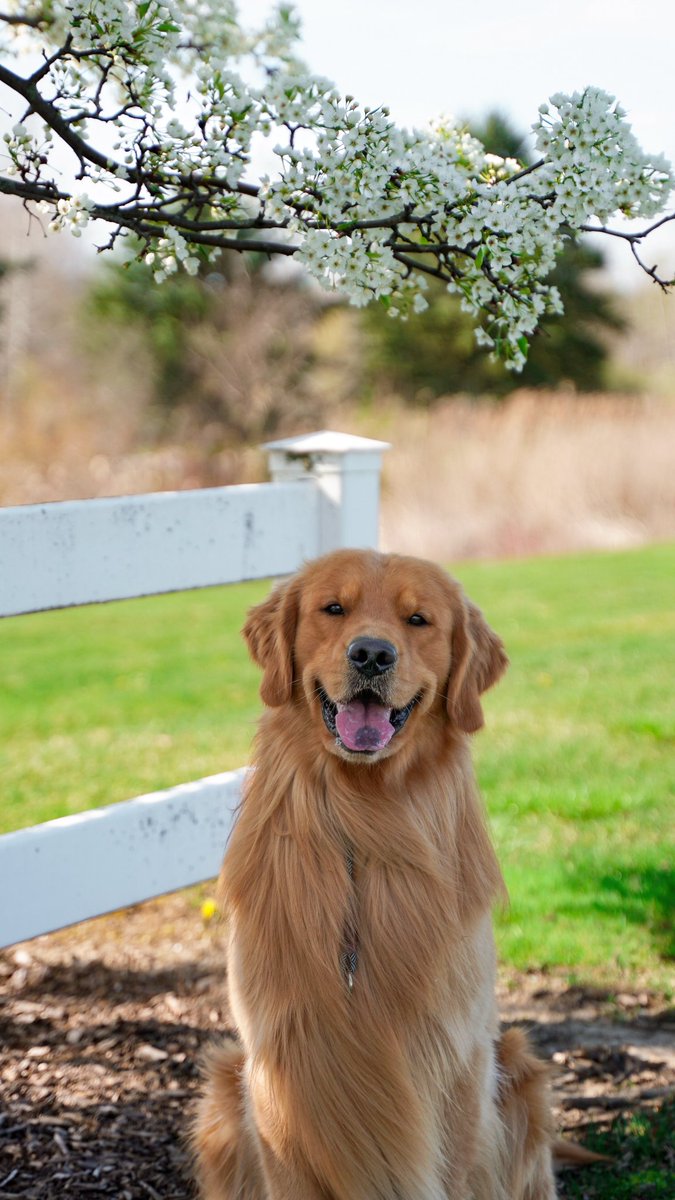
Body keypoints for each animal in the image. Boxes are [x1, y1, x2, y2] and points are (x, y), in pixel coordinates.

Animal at [192, 549, 564, 1195]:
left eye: (418, 619)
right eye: (333, 609)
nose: (371, 654)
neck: (364, 815)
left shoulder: (455, 1061)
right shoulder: (279, 1069)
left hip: (520, 1072)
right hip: (224, 1084)